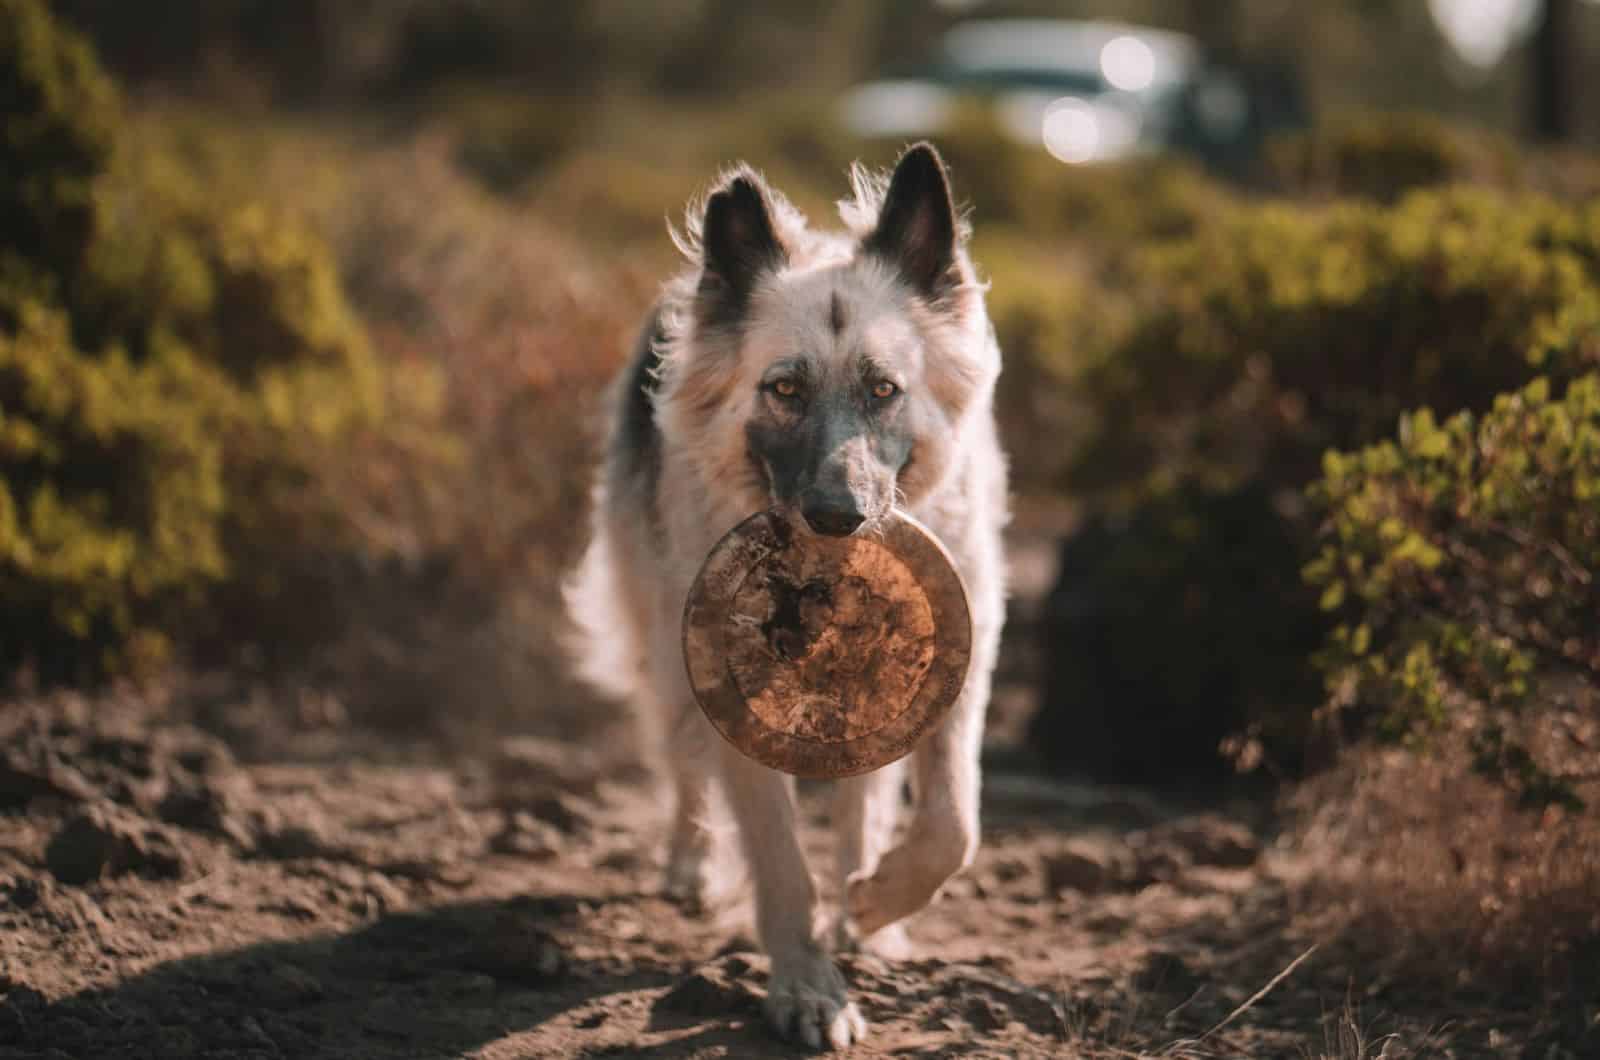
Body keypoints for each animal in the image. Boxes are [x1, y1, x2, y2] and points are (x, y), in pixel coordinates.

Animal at [569, 143, 1004, 1056]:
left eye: (883, 390)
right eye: (786, 391)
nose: (839, 516)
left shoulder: (963, 658)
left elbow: (952, 824)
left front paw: (876, 905)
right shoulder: (725, 691)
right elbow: (777, 857)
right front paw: (807, 986)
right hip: (662, 644)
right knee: (681, 765)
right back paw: (692, 866)